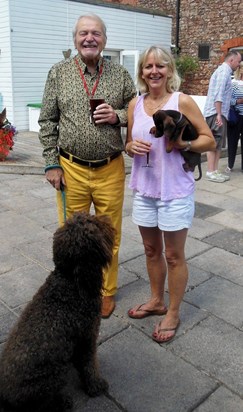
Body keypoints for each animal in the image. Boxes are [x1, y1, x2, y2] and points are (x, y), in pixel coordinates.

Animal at [0, 212, 115, 412]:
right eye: (94, 224)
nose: (106, 217)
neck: (69, 281)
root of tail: (5, 398)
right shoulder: (87, 335)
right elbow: (89, 364)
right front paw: (95, 386)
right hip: (52, 375)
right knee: (43, 404)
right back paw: (63, 401)